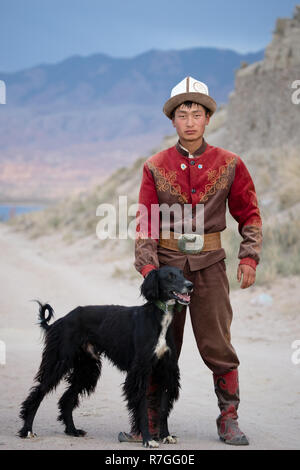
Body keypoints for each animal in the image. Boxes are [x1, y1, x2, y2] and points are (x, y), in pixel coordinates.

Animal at [18, 266, 192, 446]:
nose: (190, 285)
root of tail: (60, 321)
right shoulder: (140, 371)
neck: (159, 319)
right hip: (59, 362)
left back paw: (72, 430)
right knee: (38, 393)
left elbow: (163, 408)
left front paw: (166, 435)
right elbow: (142, 408)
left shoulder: (167, 370)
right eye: (170, 276)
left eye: (181, 273)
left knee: (67, 399)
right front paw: (148, 439)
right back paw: (27, 430)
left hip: (86, 368)